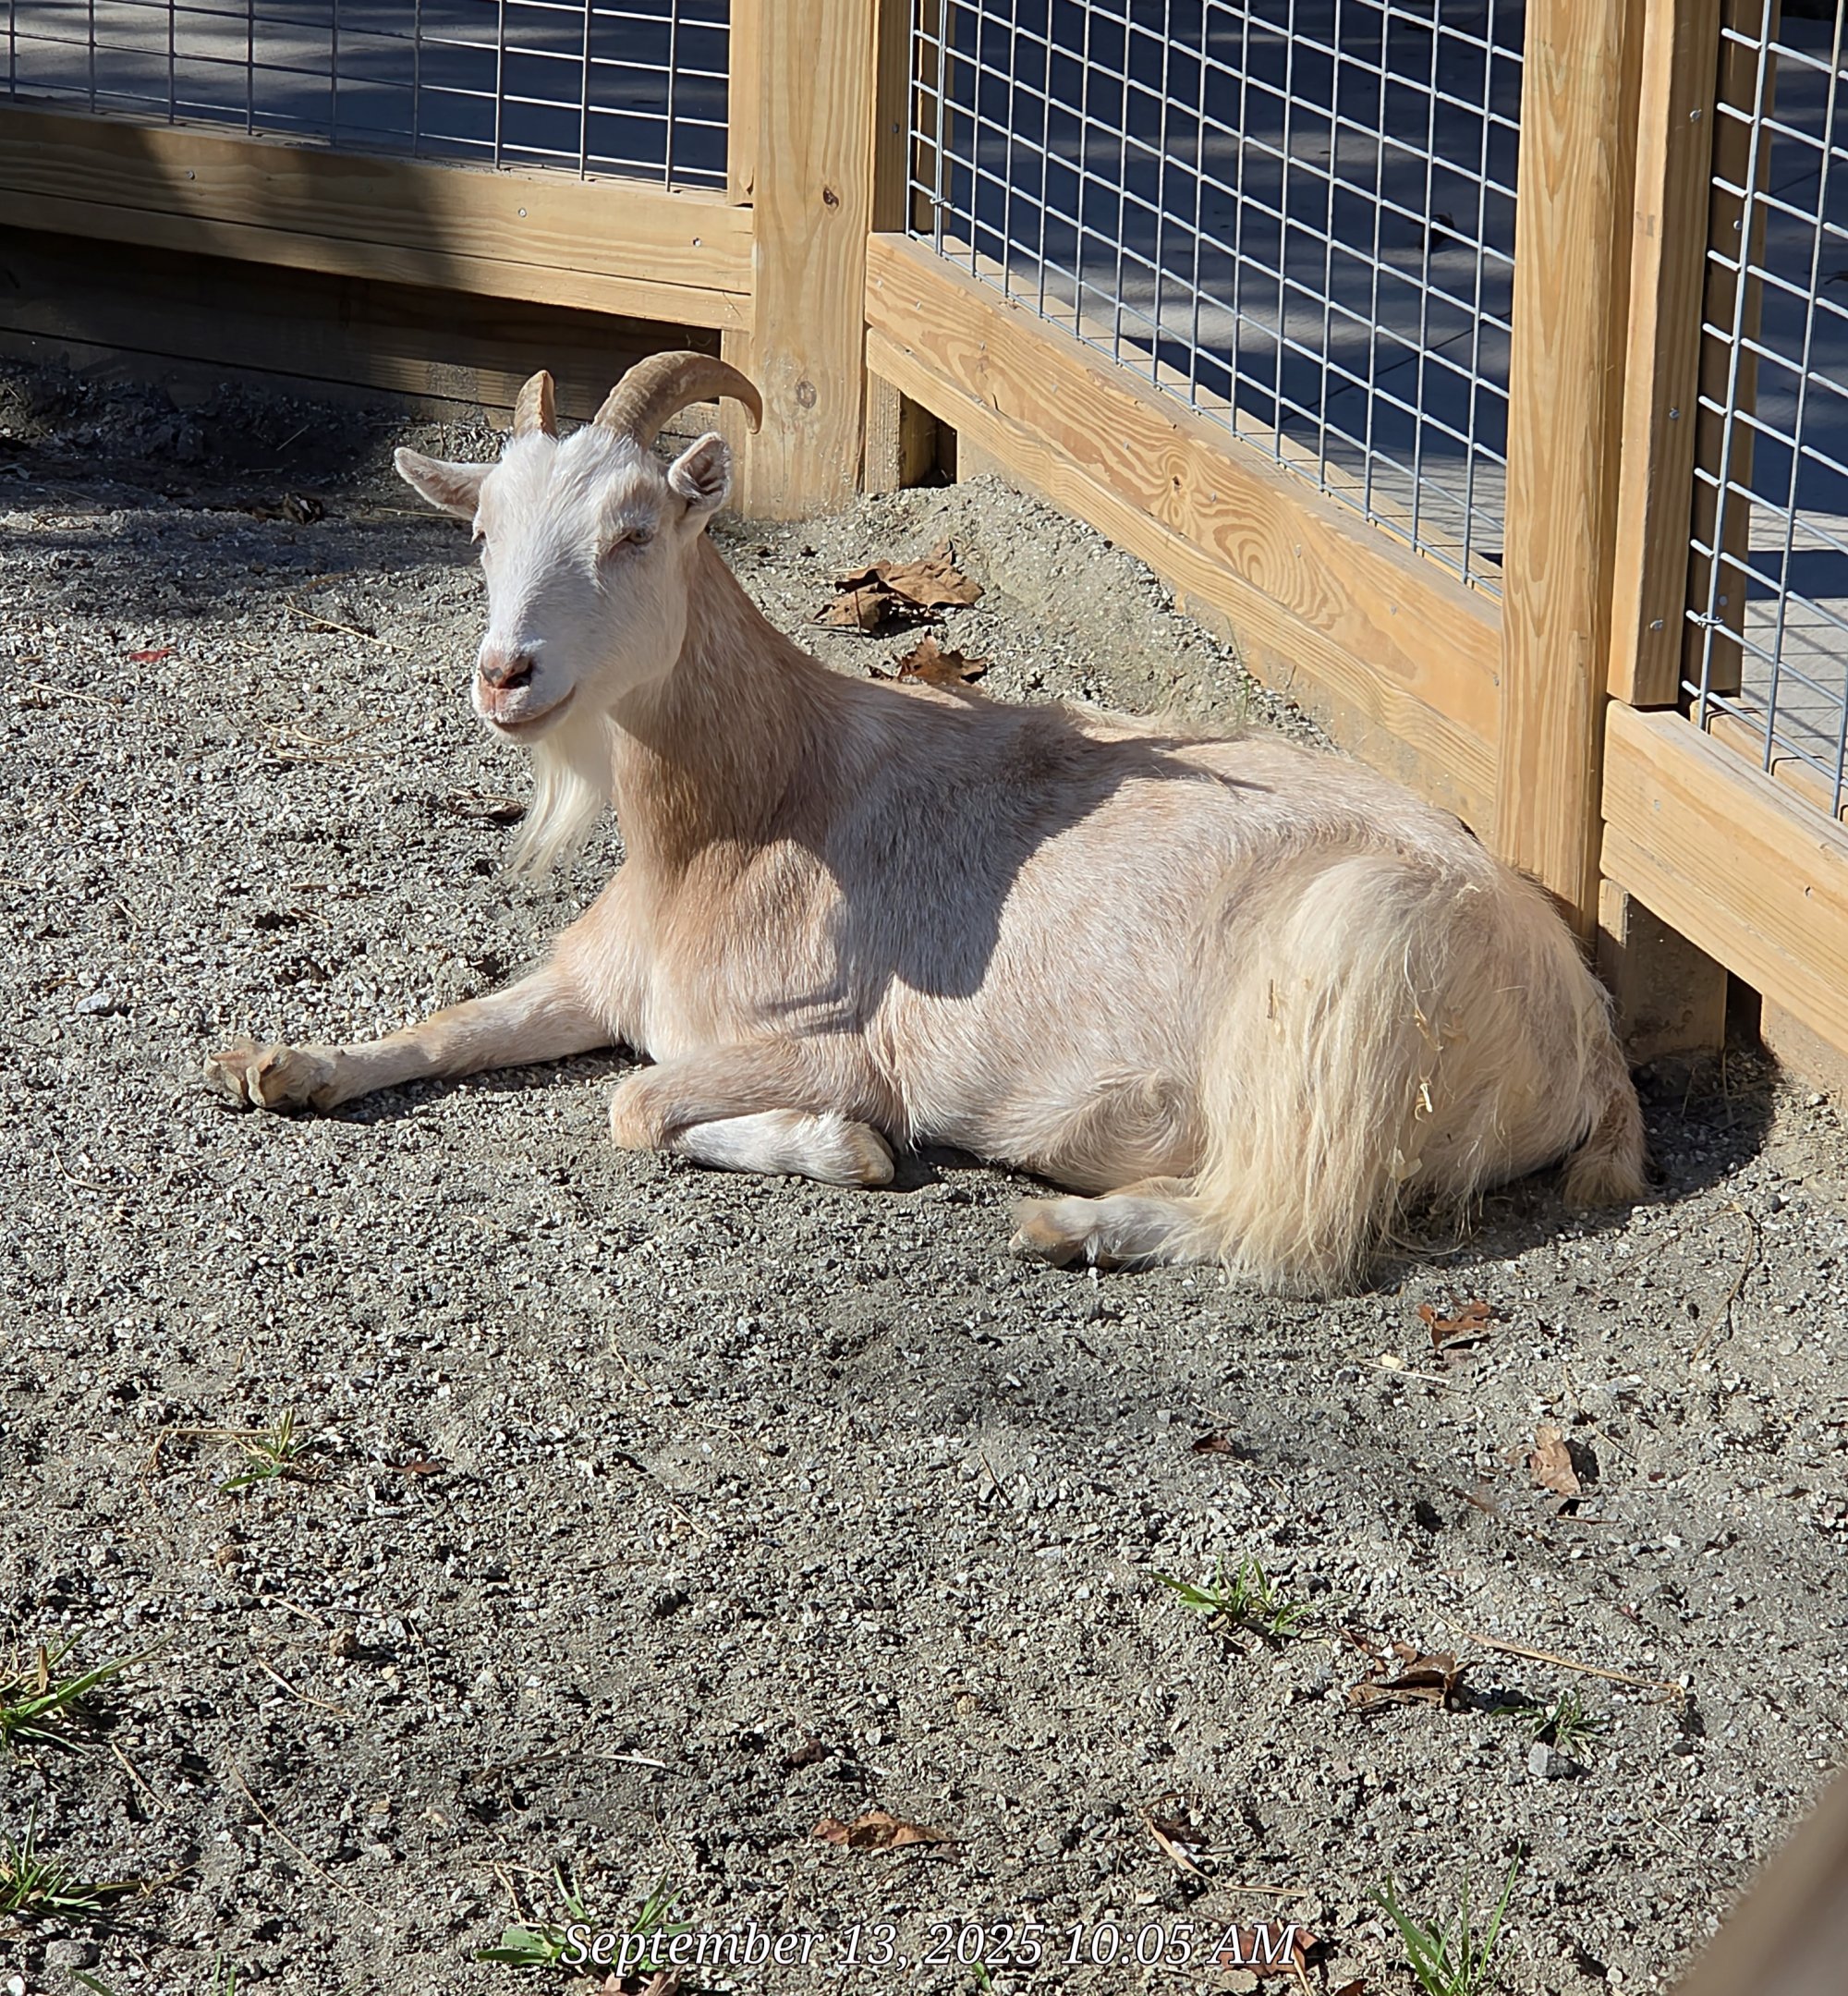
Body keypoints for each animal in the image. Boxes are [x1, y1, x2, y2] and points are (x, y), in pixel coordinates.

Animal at [204, 352, 1646, 1294]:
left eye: (634, 531)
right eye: (480, 533)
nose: (508, 675)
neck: (750, 811)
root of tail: (1587, 1034)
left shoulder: (834, 1044)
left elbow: (640, 1104)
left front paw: (837, 1149)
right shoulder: (597, 975)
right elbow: (455, 1024)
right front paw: (283, 1066)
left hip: (1355, 959)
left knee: (1296, 1235)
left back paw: (1077, 1228)